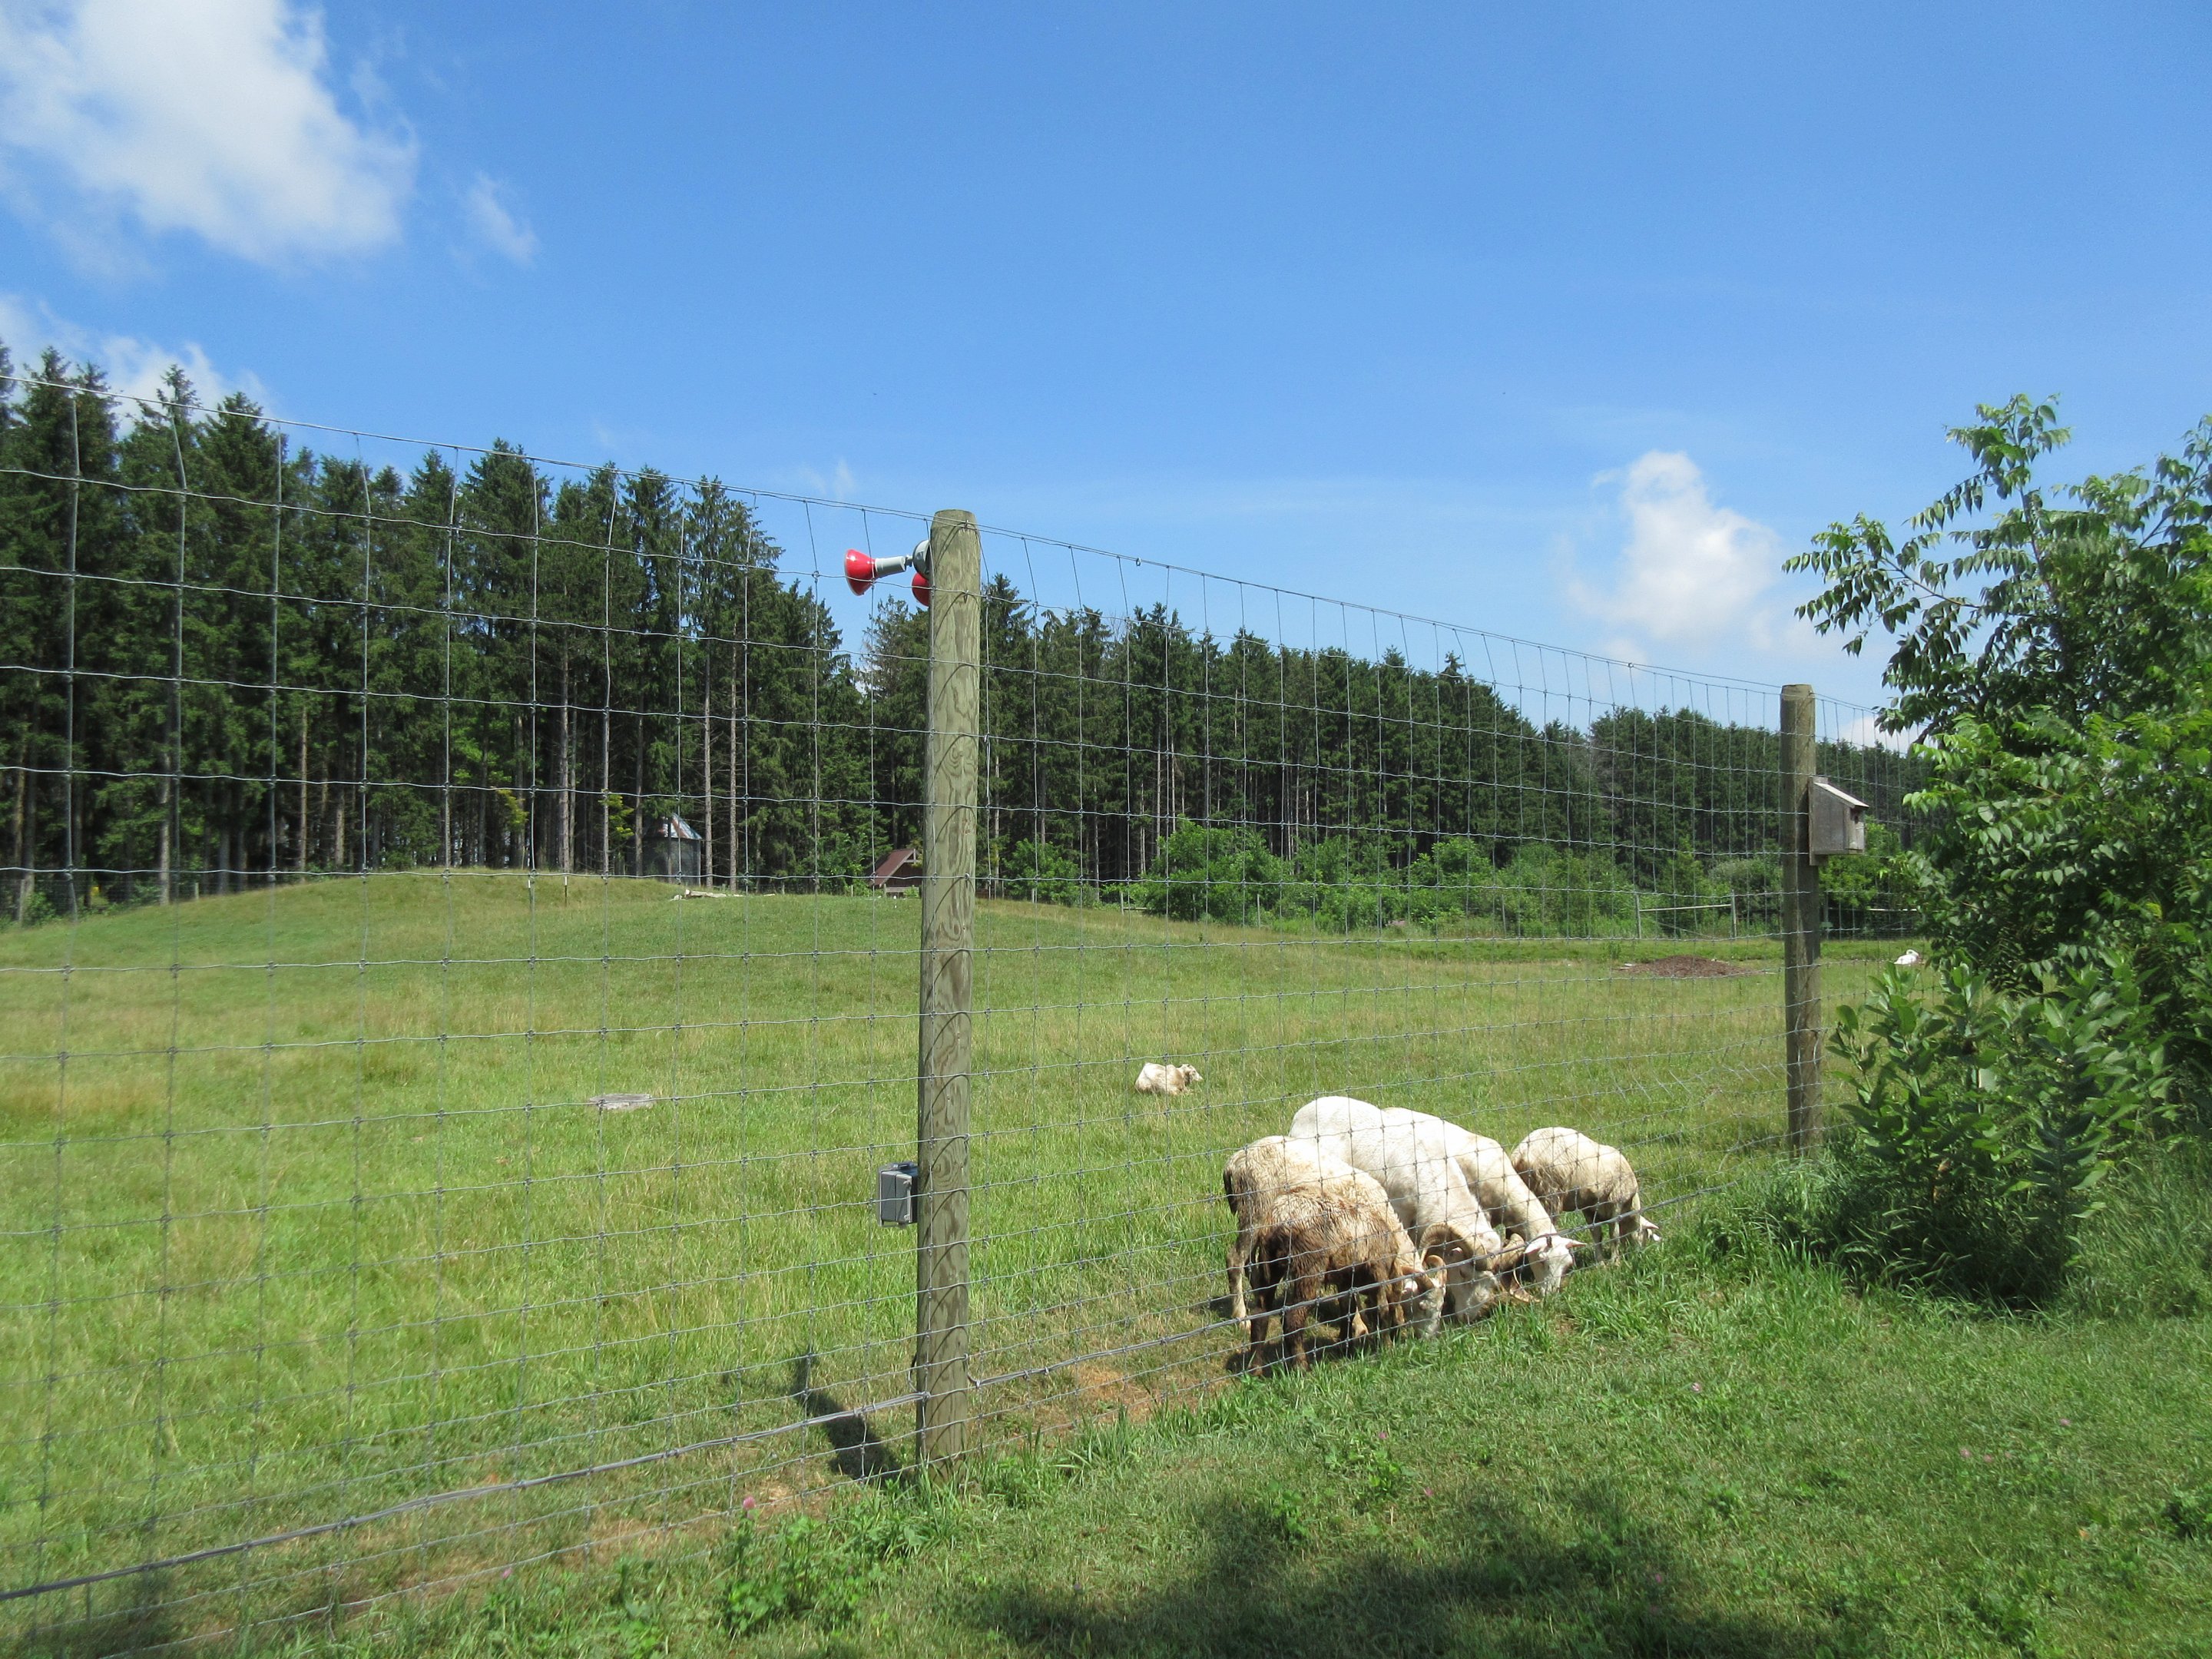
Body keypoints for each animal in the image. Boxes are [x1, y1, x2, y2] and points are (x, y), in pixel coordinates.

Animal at [1221, 1137, 1444, 1369]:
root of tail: (1234, 1160)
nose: (1428, 1342)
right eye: (1422, 1307)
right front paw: (1361, 1328)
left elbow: (1348, 1299)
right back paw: (1241, 1317)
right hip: (1254, 1209)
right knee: (1235, 1260)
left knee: (1252, 1268)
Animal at [1285, 1097, 1507, 1325]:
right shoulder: (1400, 1211)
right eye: (1463, 1273)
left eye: (1492, 1283)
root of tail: (1307, 1107)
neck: (1431, 1174)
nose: (1467, 1318)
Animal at [1510, 1126, 1661, 1258]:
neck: (1629, 1208)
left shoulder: (1589, 1209)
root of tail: (1521, 1154)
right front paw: (1615, 1262)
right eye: (1646, 1235)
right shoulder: (1616, 1202)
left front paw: (1601, 1264)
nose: (1639, 1254)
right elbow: (1615, 1236)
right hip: (1549, 1194)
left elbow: (1597, 1235)